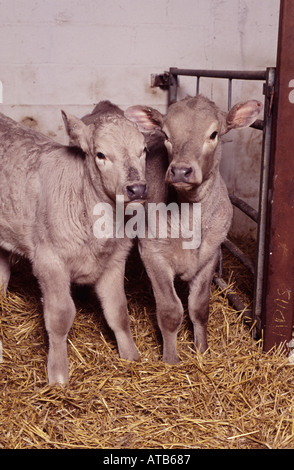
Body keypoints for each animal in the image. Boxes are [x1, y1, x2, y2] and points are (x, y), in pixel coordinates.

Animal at [0, 104, 147, 384]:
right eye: (100, 154)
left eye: (143, 149)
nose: (136, 188)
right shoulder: (49, 262)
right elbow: (61, 316)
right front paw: (58, 375)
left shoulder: (114, 260)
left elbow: (118, 311)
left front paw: (131, 356)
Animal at [126, 93, 262, 362]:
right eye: (166, 135)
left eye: (214, 134)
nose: (180, 170)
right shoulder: (153, 254)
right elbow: (170, 311)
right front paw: (170, 360)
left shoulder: (210, 255)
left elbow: (199, 308)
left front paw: (203, 351)